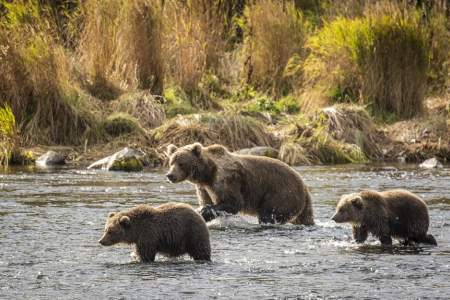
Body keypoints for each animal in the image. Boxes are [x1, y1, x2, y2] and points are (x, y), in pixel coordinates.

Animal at [164, 143, 312, 225]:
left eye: (181, 163)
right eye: (171, 162)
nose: (170, 175)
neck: (206, 174)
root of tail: (304, 187)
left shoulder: (225, 179)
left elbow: (234, 202)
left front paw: (204, 211)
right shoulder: (203, 188)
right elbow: (206, 200)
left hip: (282, 192)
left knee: (269, 214)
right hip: (299, 204)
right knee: (304, 217)